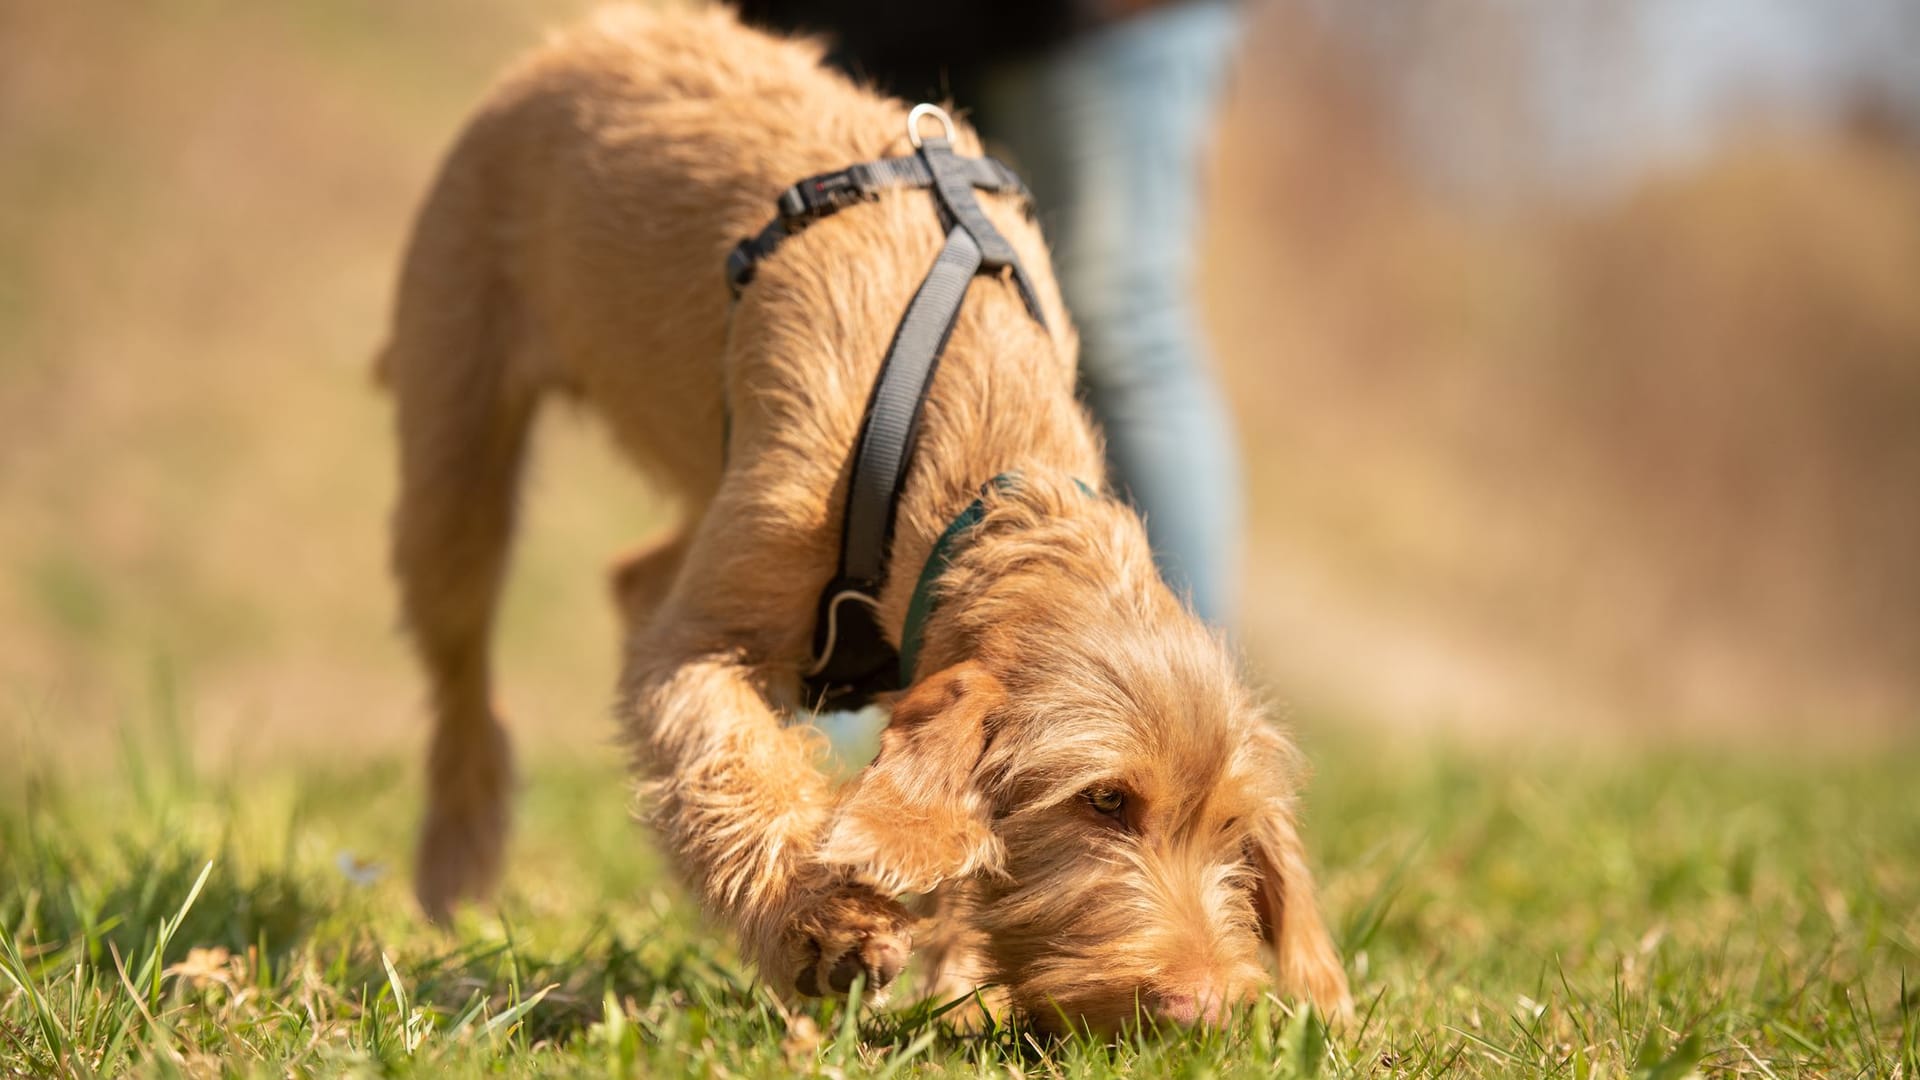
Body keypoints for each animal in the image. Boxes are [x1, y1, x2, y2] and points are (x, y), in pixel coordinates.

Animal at [382, 4, 1351, 1030]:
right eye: (1105, 802)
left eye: (1231, 827)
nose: (1200, 1011)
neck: (989, 473)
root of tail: (605, 31)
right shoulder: (698, 646)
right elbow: (732, 764)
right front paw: (820, 925)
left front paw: (957, 992)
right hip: (455, 442)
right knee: (464, 665)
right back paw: (454, 860)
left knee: (636, 575)